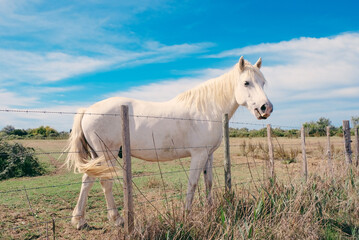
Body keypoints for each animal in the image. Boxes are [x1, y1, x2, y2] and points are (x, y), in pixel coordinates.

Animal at [64, 55, 272, 229]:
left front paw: (210, 210)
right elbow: (193, 184)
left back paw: (80, 220)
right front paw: (187, 214)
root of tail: (88, 110)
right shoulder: (198, 154)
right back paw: (117, 219)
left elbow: (209, 182)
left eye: (263, 82)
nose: (266, 108)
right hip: (108, 154)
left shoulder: (209, 154)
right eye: (246, 82)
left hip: (97, 156)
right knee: (105, 182)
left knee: (87, 180)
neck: (207, 110)